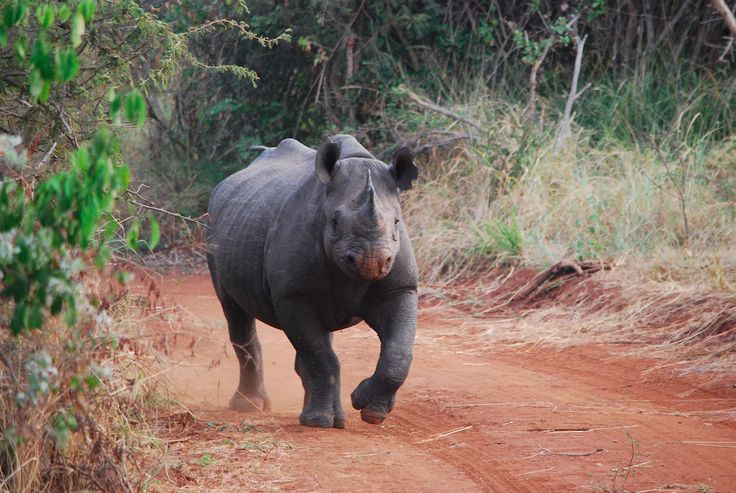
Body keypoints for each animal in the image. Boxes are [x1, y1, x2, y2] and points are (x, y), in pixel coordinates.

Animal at [206, 135, 419, 428]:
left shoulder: (400, 288)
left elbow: (399, 351)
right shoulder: (292, 295)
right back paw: (250, 406)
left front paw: (372, 411)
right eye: (334, 222)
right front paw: (319, 422)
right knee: (234, 311)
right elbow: (319, 355)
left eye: (397, 222)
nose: (371, 262)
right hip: (213, 228)